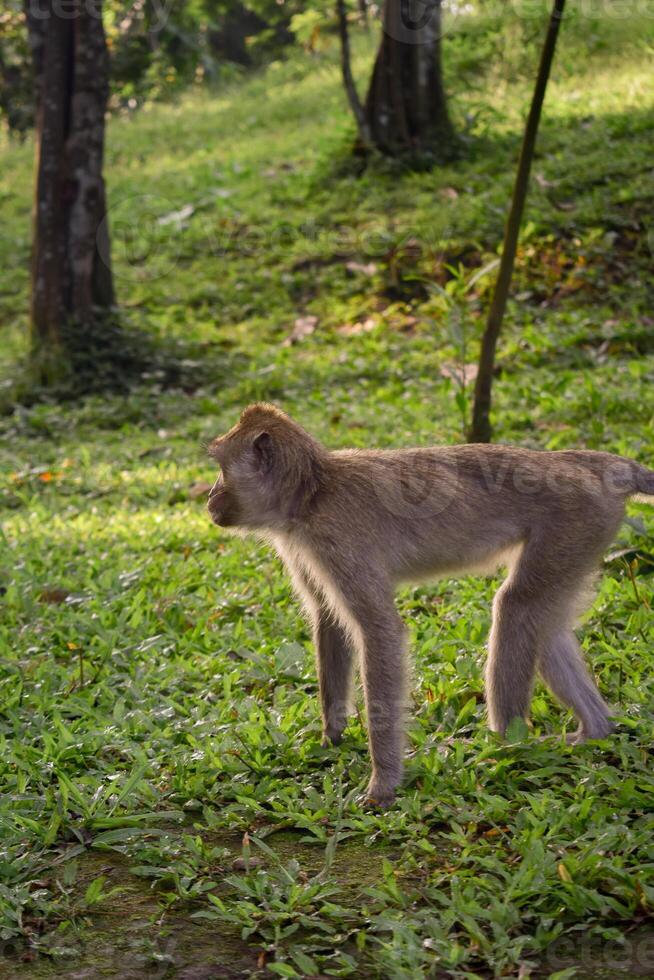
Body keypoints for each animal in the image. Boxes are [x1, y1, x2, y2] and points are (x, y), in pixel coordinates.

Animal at [206, 404, 654, 804]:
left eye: (221, 467)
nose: (210, 497)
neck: (313, 492)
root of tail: (586, 463)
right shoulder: (305, 547)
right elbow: (328, 620)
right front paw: (331, 737)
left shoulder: (336, 540)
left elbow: (380, 630)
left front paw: (383, 784)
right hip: (583, 535)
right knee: (543, 621)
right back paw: (593, 731)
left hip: (575, 523)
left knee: (517, 607)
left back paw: (505, 748)